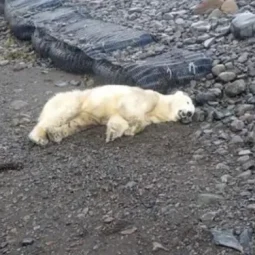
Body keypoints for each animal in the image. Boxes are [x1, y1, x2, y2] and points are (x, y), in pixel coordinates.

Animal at [28, 84, 195, 145]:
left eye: (193, 112)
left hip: (84, 116)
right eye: (188, 102)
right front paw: (132, 127)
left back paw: (55, 134)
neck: (160, 106)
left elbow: (118, 119)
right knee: (61, 114)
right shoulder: (147, 97)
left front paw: (114, 133)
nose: (188, 114)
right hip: (73, 101)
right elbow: (130, 109)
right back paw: (39, 138)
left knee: (76, 124)